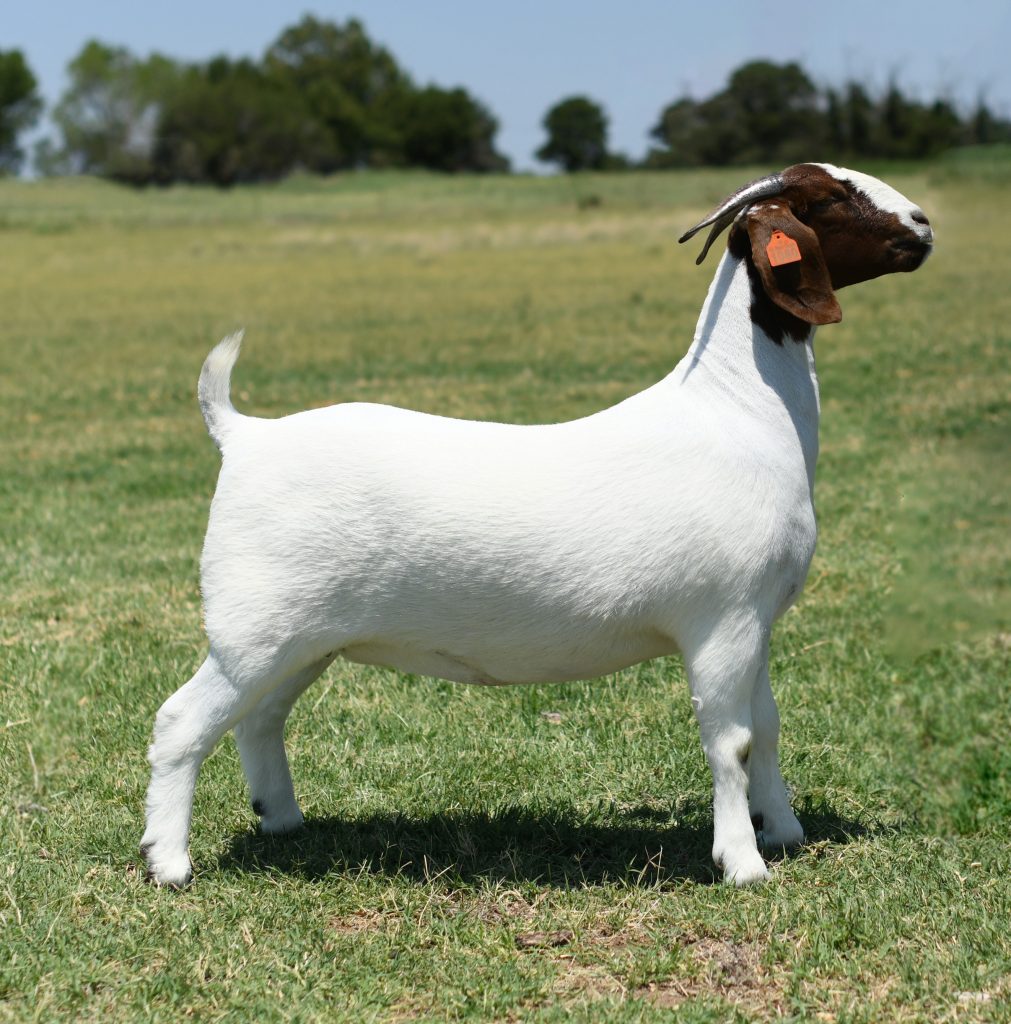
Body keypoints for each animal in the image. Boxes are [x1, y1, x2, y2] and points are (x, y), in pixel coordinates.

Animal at [140, 163, 932, 887]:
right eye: (829, 198)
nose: (923, 225)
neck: (737, 409)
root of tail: (244, 435)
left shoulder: (755, 621)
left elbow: (765, 728)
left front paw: (785, 830)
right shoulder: (723, 619)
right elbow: (731, 742)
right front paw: (743, 864)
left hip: (304, 637)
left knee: (259, 718)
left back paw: (281, 819)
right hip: (254, 625)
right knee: (181, 720)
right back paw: (169, 863)